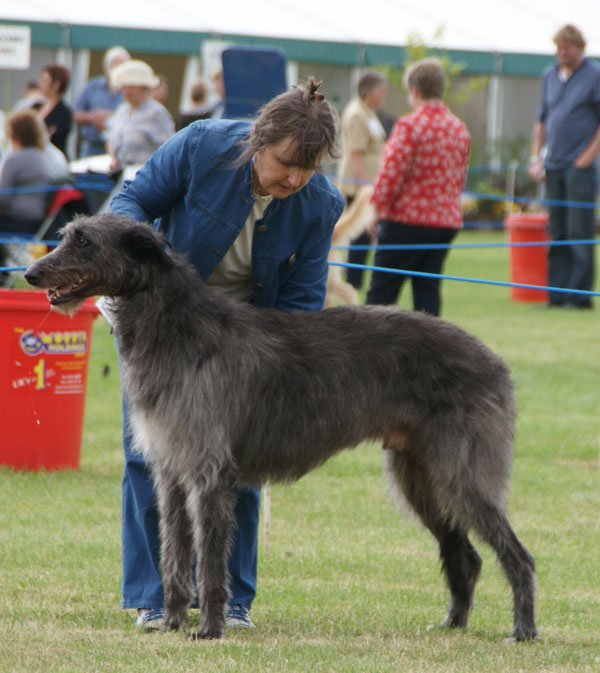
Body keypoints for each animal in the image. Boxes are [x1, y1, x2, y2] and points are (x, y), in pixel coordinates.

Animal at [25, 215, 536, 640]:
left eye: (84, 241)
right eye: (67, 235)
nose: (30, 275)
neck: (177, 328)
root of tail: (495, 361)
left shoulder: (209, 473)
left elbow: (210, 562)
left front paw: (208, 629)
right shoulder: (170, 472)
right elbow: (173, 553)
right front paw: (169, 622)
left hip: (461, 471)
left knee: (517, 554)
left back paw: (523, 630)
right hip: (419, 476)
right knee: (465, 554)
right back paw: (453, 623)